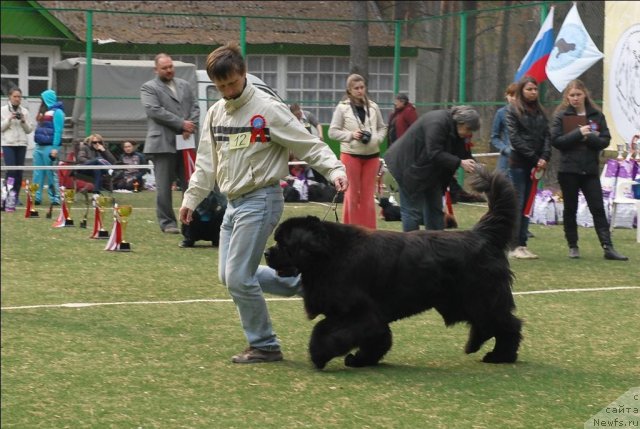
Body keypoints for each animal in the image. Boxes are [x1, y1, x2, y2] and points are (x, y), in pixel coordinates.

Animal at [264, 169, 520, 370]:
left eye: (284, 244)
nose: (267, 253)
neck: (329, 255)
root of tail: (483, 234)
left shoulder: (358, 313)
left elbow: (324, 331)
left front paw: (319, 355)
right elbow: (377, 338)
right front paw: (360, 360)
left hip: (480, 295)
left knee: (506, 323)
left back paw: (501, 355)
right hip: (460, 300)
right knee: (486, 323)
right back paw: (476, 346)